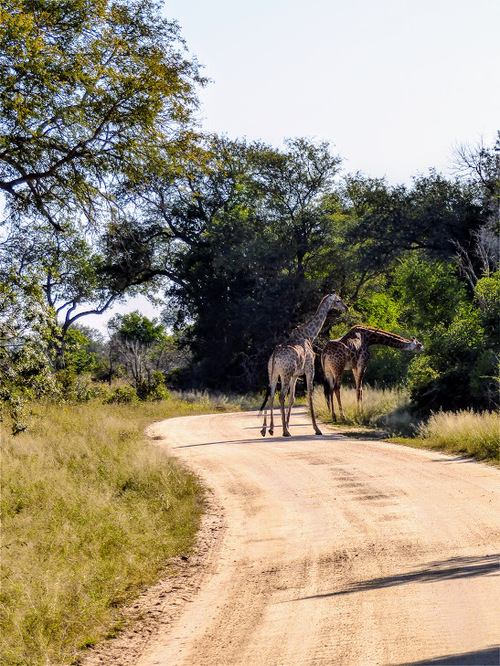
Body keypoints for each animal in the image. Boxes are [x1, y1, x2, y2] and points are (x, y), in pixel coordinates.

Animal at [260, 292, 350, 436]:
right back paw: (284, 432)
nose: (346, 308)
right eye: (338, 300)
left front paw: (287, 424)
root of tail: (274, 357)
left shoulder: (295, 374)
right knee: (281, 396)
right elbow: (310, 396)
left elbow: (292, 399)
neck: (309, 335)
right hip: (285, 373)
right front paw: (316, 429)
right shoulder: (309, 369)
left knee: (272, 394)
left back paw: (269, 429)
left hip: (273, 373)